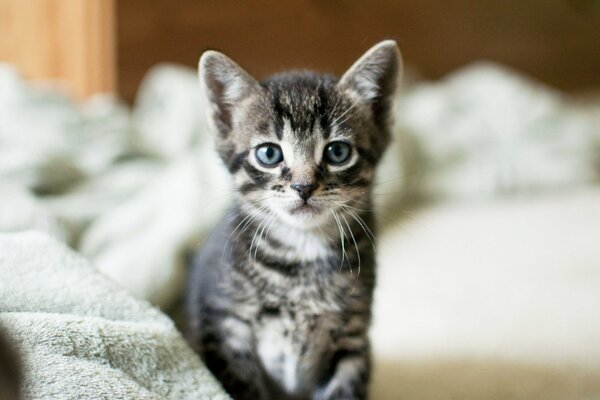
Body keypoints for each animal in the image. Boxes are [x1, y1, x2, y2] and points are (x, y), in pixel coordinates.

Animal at [186, 41, 404, 400]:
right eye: (269, 154)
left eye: (338, 152)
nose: (304, 187)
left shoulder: (353, 338)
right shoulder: (225, 326)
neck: (303, 250)